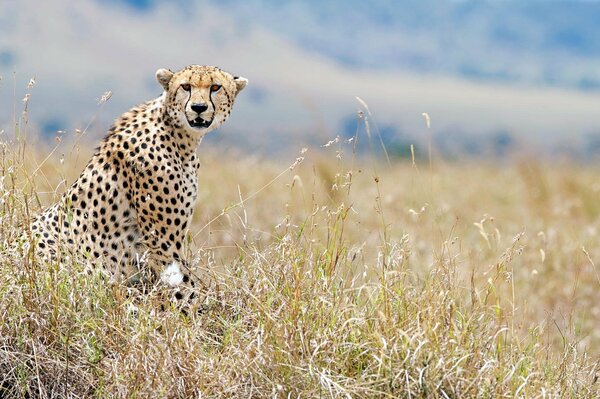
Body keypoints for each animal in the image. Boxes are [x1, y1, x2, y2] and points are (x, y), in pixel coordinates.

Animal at [27, 64, 248, 298]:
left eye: (215, 87)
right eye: (186, 86)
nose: (198, 107)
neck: (179, 136)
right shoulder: (162, 242)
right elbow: (186, 287)